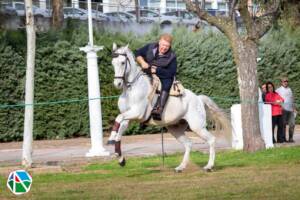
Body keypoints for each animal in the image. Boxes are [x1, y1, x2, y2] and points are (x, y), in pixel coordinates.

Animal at [109, 43, 231, 172]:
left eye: (123, 62)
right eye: (112, 62)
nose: (117, 84)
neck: (132, 88)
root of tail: (198, 98)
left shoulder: (137, 113)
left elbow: (118, 118)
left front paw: (110, 139)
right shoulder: (128, 119)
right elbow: (119, 133)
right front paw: (120, 159)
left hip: (197, 127)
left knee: (211, 140)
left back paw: (208, 166)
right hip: (175, 129)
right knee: (188, 143)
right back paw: (181, 167)